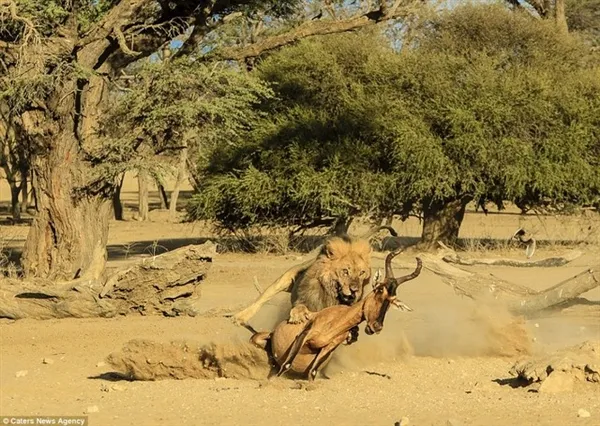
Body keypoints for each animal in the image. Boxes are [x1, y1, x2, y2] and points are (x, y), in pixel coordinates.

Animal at [232, 233, 372, 326]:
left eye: (362, 273)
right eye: (345, 271)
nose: (355, 290)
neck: (332, 294)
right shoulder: (305, 298)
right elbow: (300, 306)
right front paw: (298, 315)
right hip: (282, 281)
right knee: (261, 299)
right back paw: (239, 317)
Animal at [248, 248, 422, 382]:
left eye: (392, 300)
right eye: (379, 289)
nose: (376, 327)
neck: (334, 320)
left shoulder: (329, 348)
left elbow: (311, 373)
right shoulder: (304, 335)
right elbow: (286, 365)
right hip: (259, 339)